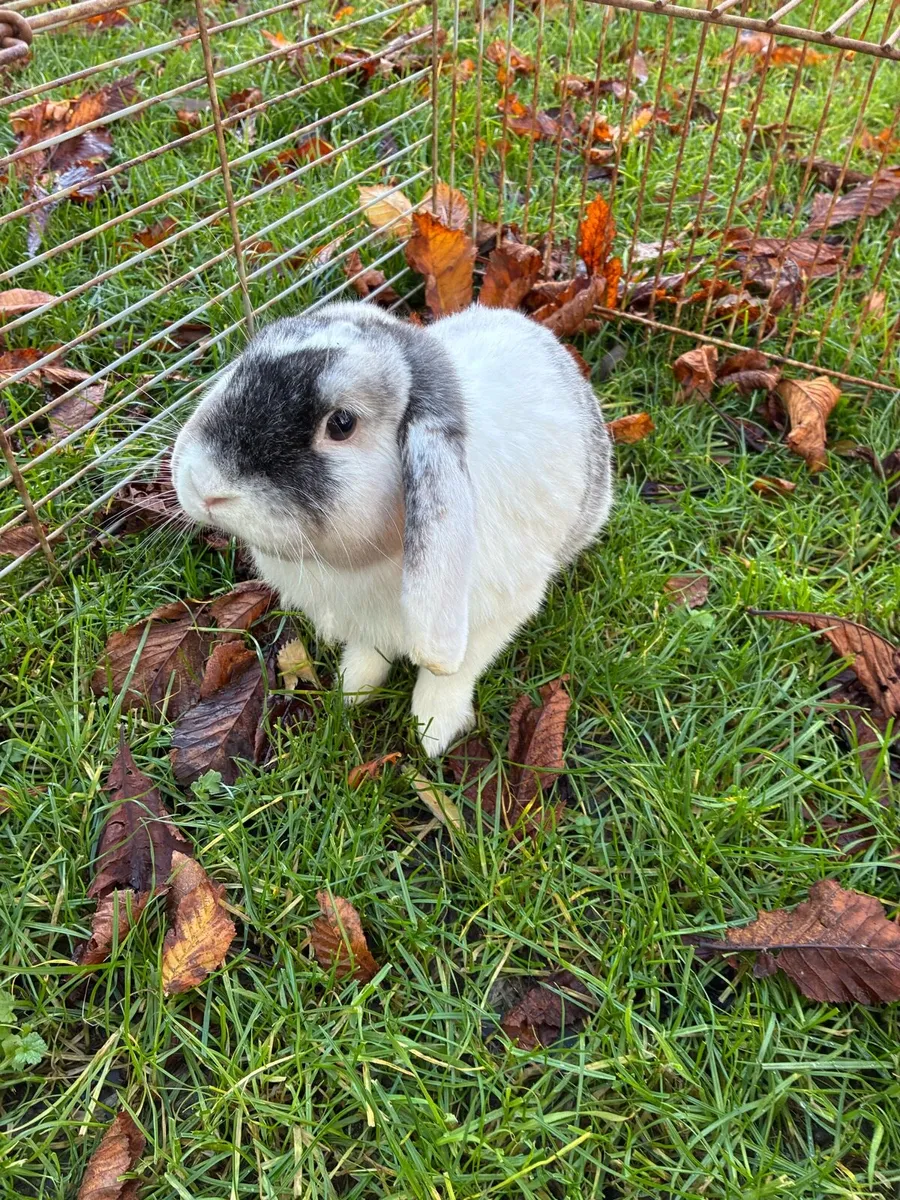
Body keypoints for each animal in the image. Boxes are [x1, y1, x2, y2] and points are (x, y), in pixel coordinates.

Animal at [172, 300, 613, 755]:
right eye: (244, 370)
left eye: (342, 423)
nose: (205, 486)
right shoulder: (368, 627)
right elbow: (370, 654)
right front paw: (350, 691)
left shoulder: (495, 619)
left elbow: (451, 675)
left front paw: (432, 733)